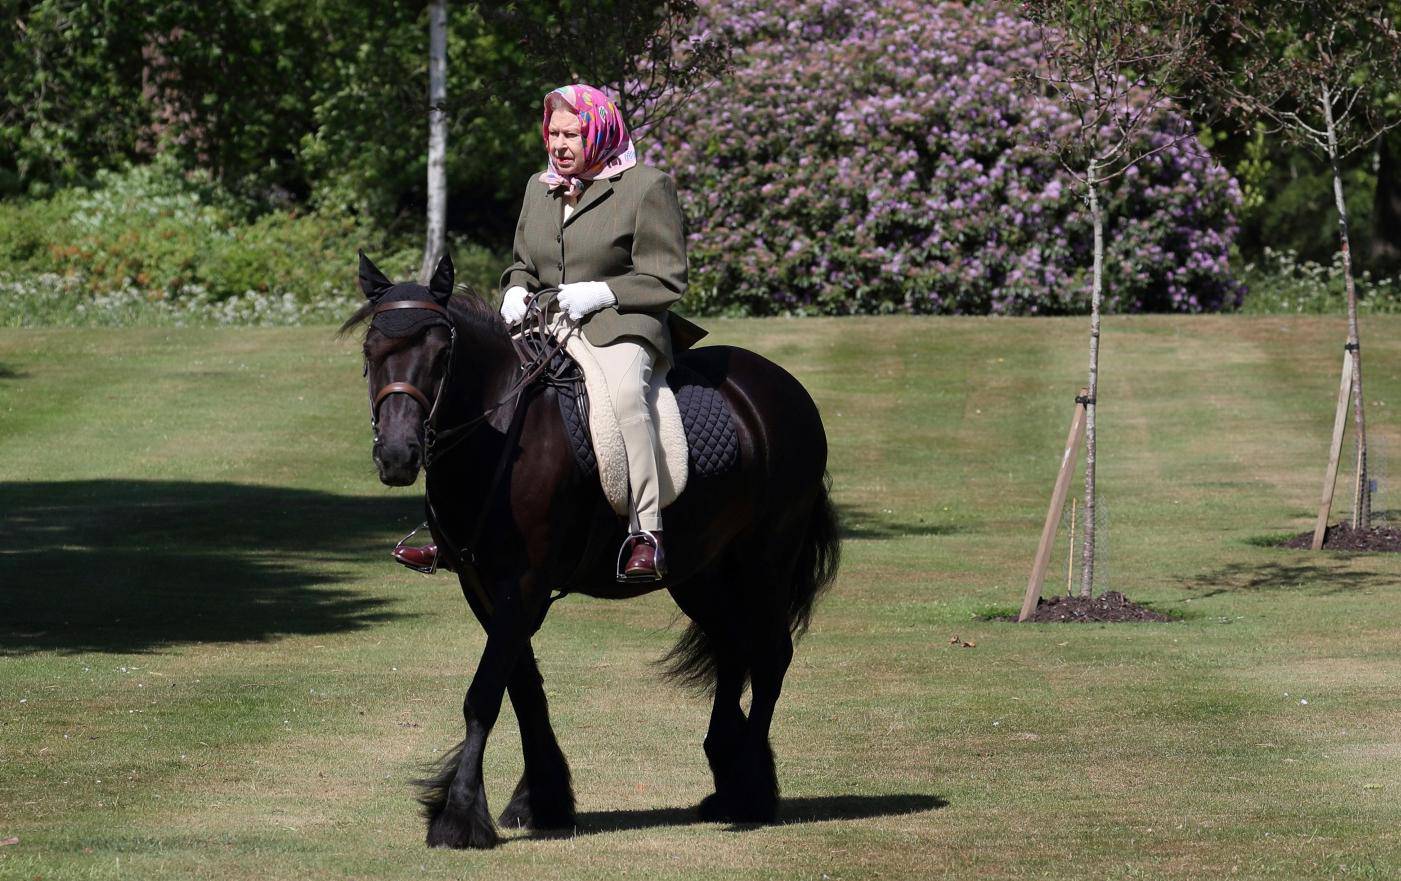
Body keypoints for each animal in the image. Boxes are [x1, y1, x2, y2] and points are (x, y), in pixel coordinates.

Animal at [344, 252, 834, 845]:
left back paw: (753, 792)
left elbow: (484, 694)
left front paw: (458, 815)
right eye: (371, 352)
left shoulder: (525, 583)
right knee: (732, 647)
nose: (397, 455)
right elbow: (523, 688)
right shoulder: (482, 585)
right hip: (700, 571)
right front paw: (543, 799)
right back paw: (727, 779)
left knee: (768, 656)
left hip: (766, 559)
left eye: (441, 355)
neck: (499, 430)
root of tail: (782, 388)